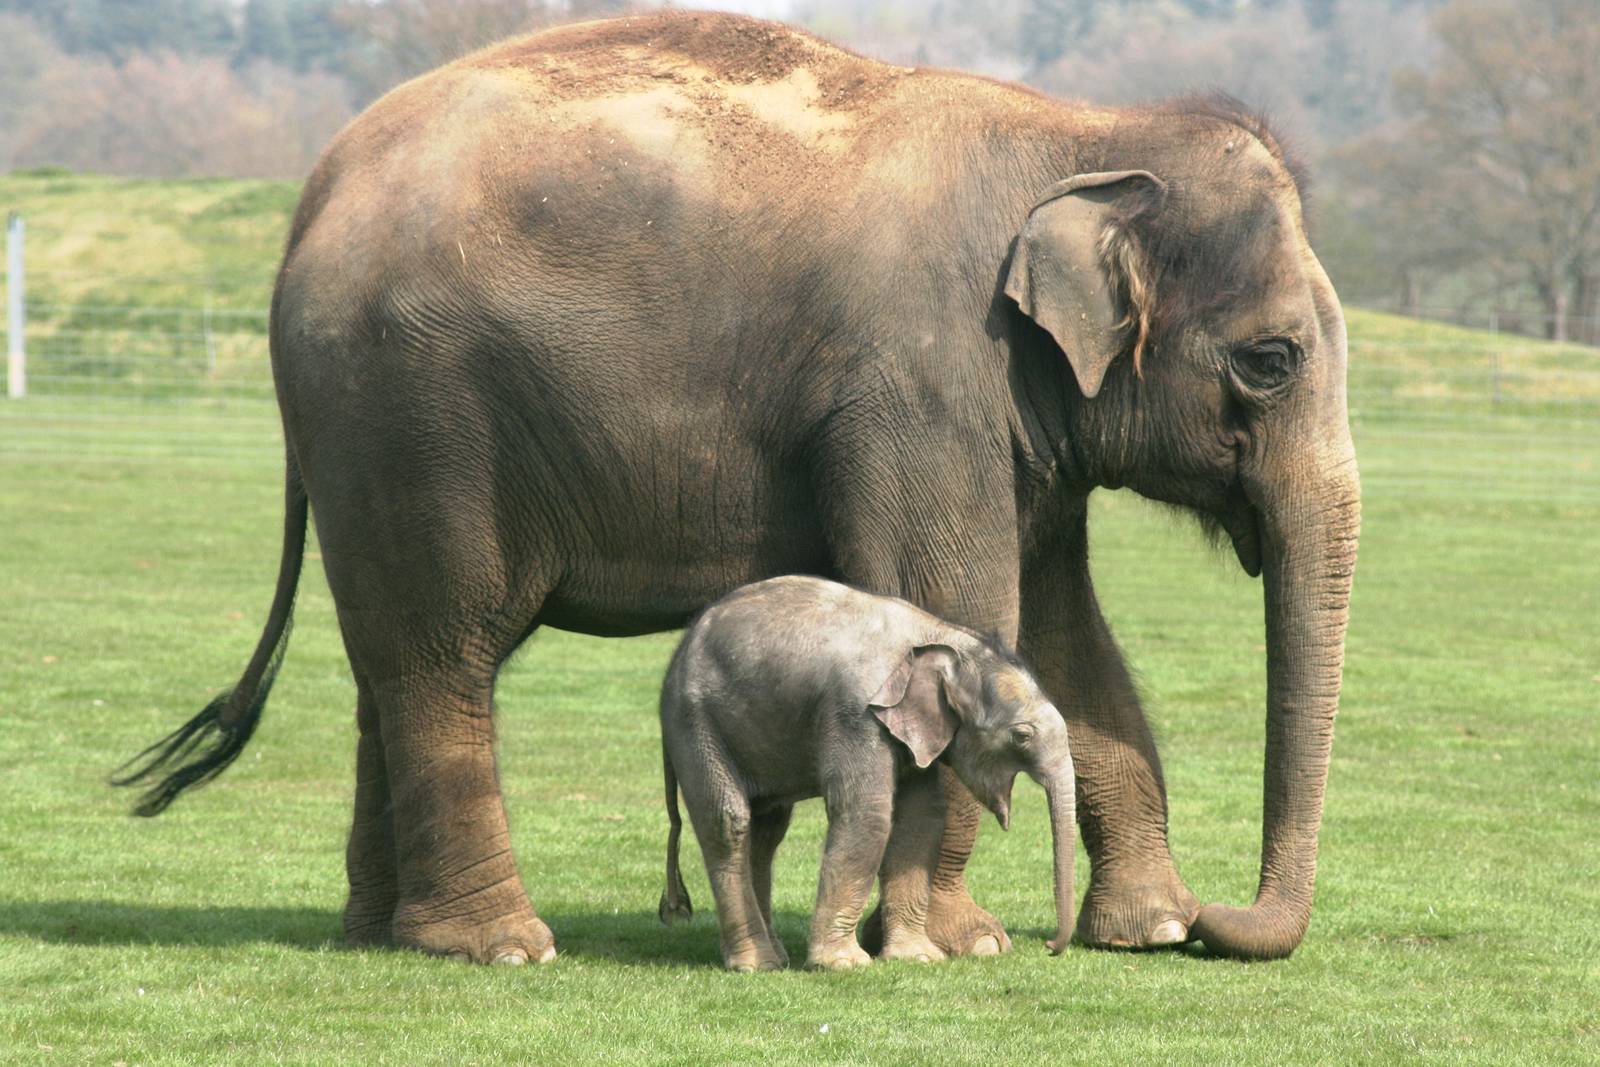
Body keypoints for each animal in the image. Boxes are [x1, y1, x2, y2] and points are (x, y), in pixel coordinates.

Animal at [656, 575, 1075, 972]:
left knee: (766, 830)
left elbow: (920, 818)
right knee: (729, 822)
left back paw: (773, 957)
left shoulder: (911, 730)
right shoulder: (857, 713)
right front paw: (844, 964)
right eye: (1021, 736)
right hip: (696, 724)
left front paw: (917, 958)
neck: (941, 637)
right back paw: (756, 964)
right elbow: (867, 814)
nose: (1049, 946)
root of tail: (677, 655)